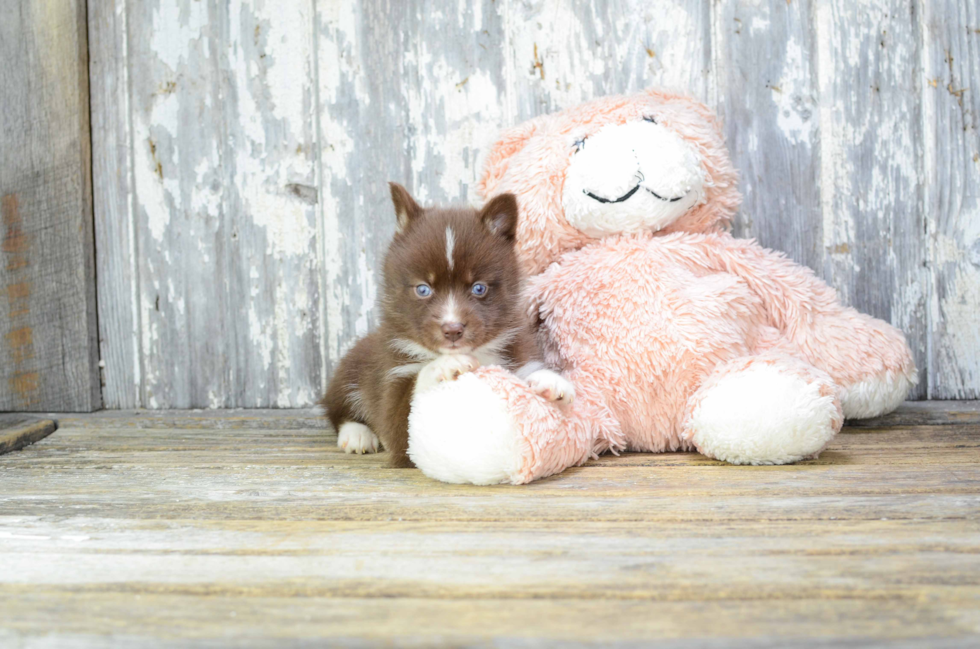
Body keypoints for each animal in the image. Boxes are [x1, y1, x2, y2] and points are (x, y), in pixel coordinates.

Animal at [320, 182, 576, 466]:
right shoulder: (393, 371)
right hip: (352, 366)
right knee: (337, 407)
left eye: (479, 288)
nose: (452, 329)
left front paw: (549, 379)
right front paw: (443, 365)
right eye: (423, 289)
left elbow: (526, 369)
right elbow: (401, 419)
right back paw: (357, 434)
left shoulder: (513, 349)